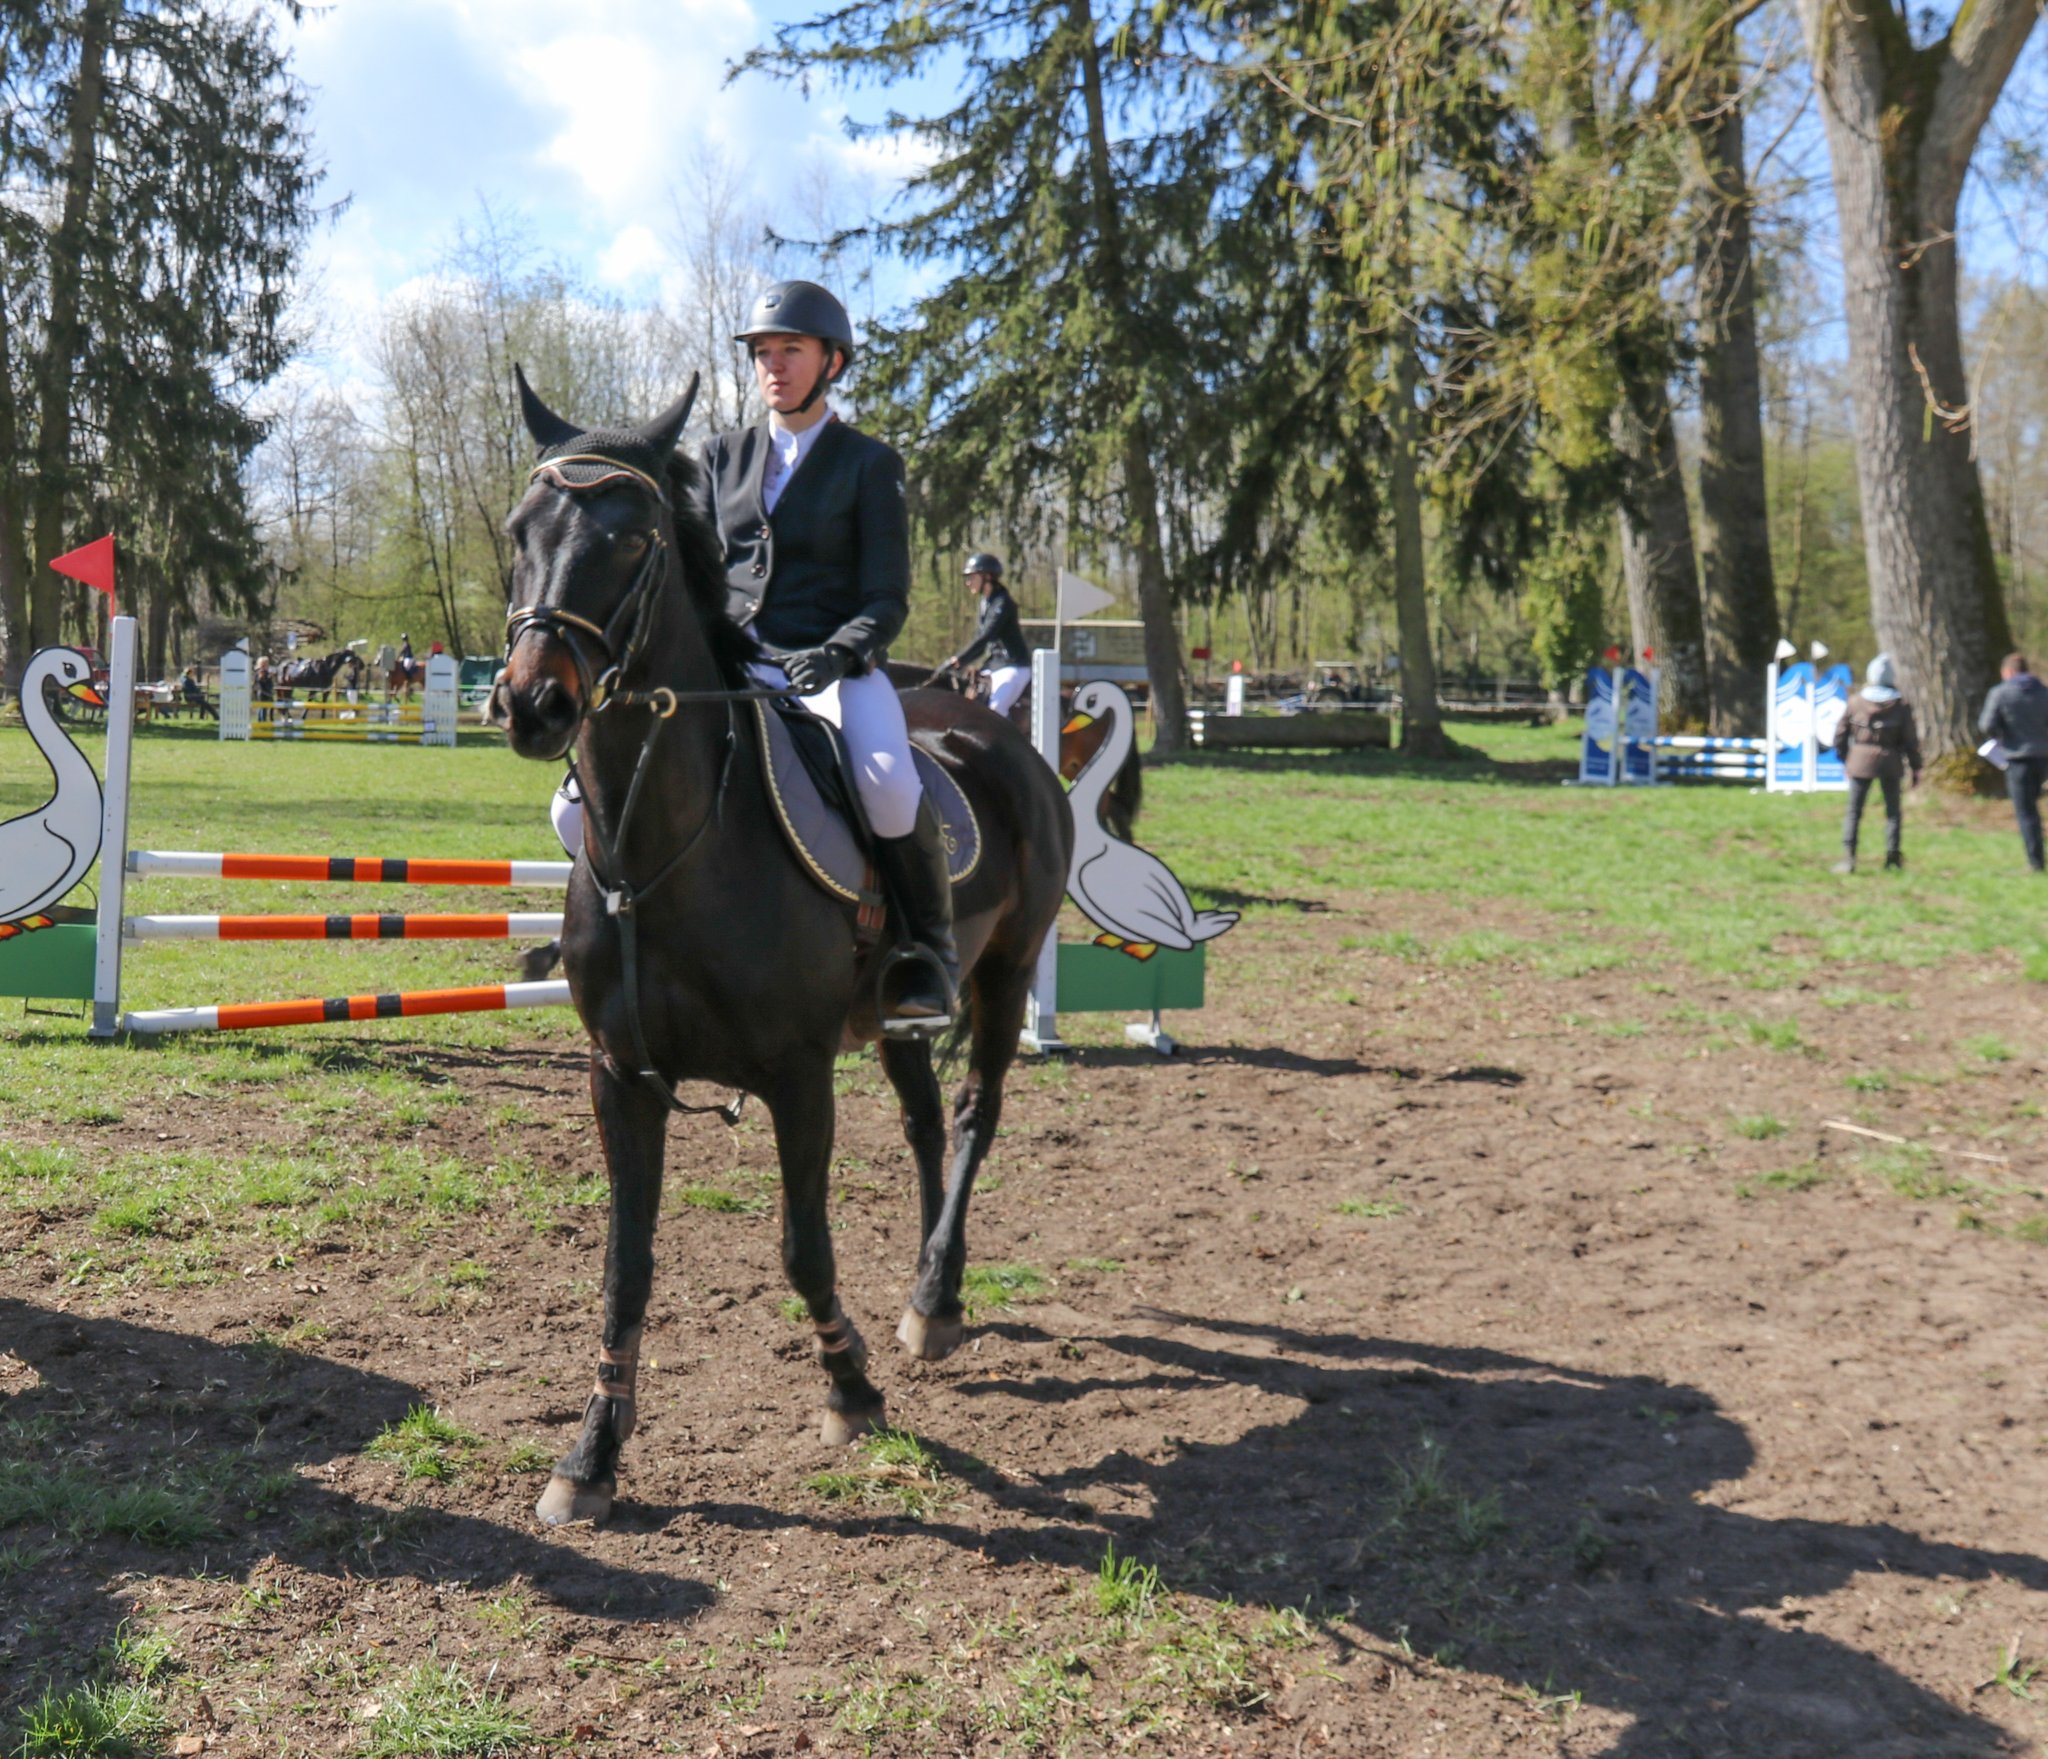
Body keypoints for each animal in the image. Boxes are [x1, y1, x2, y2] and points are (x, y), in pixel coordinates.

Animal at [487, 371, 1074, 1528]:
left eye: (634, 540)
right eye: (520, 531)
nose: (533, 703)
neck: (666, 843)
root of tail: (1001, 738)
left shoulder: (799, 1075)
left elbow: (802, 1247)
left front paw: (850, 1390)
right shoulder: (619, 1076)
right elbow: (625, 1264)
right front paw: (592, 1453)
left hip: (1003, 971)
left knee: (973, 1115)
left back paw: (932, 1293)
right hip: (898, 1015)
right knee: (925, 1124)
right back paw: (932, 1292)